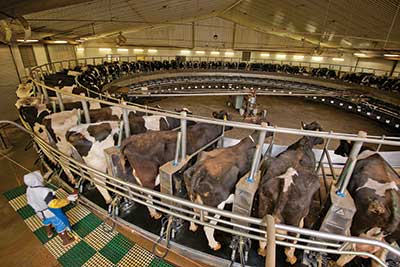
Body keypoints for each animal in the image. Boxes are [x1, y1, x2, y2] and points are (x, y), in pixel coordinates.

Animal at [184, 121, 272, 251]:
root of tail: (200, 170)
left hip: (192, 197)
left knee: (191, 212)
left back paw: (193, 227)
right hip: (216, 206)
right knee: (208, 227)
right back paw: (215, 245)